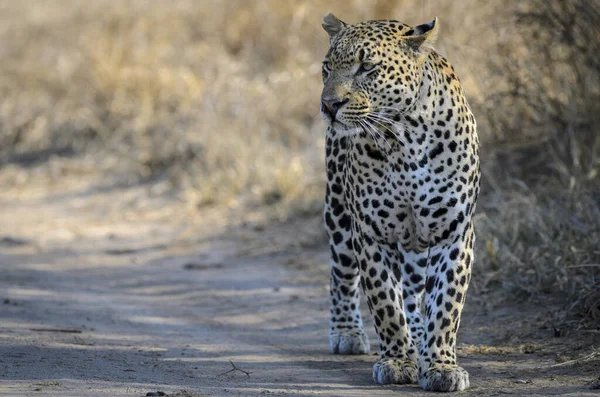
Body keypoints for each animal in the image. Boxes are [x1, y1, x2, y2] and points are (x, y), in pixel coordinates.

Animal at [322, 13, 480, 392]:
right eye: (327, 68)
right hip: (338, 214)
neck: (405, 136)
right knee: (341, 274)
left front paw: (440, 366)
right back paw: (347, 333)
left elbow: (445, 303)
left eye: (367, 67)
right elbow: (385, 302)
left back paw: (419, 338)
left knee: (414, 288)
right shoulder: (371, 234)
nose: (328, 105)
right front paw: (396, 361)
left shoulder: (454, 232)